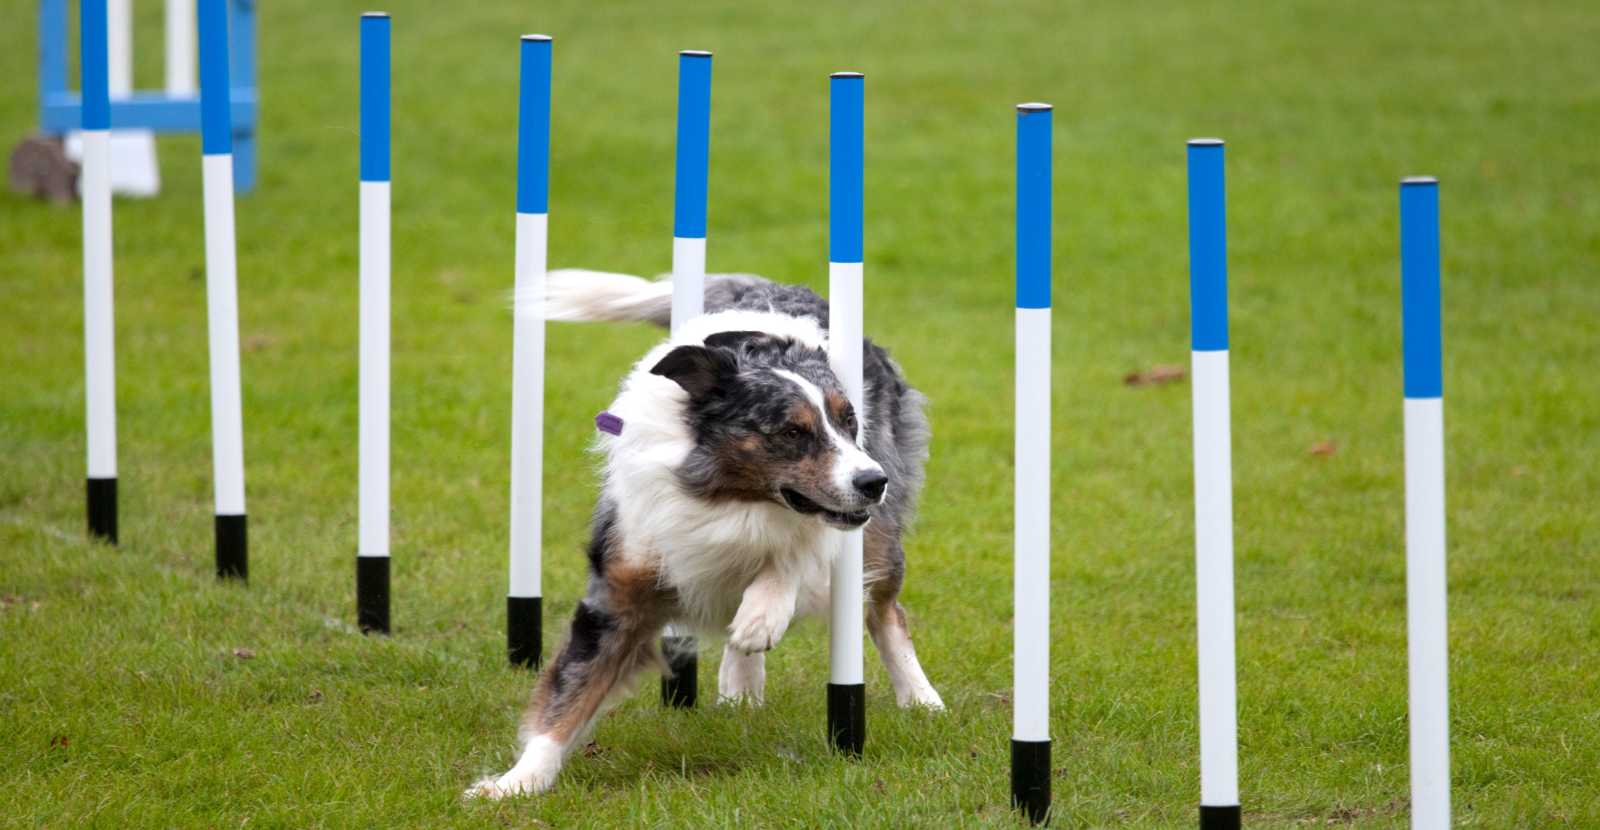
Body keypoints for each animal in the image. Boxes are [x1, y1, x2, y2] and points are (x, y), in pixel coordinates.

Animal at [467, 268, 934, 799]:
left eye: (850, 420)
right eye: (792, 433)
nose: (875, 482)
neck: (728, 497)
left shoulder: (833, 522)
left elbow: (797, 551)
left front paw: (763, 612)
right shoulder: (619, 589)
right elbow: (569, 693)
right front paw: (516, 783)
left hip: (880, 538)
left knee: (886, 610)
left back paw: (921, 699)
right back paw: (742, 686)